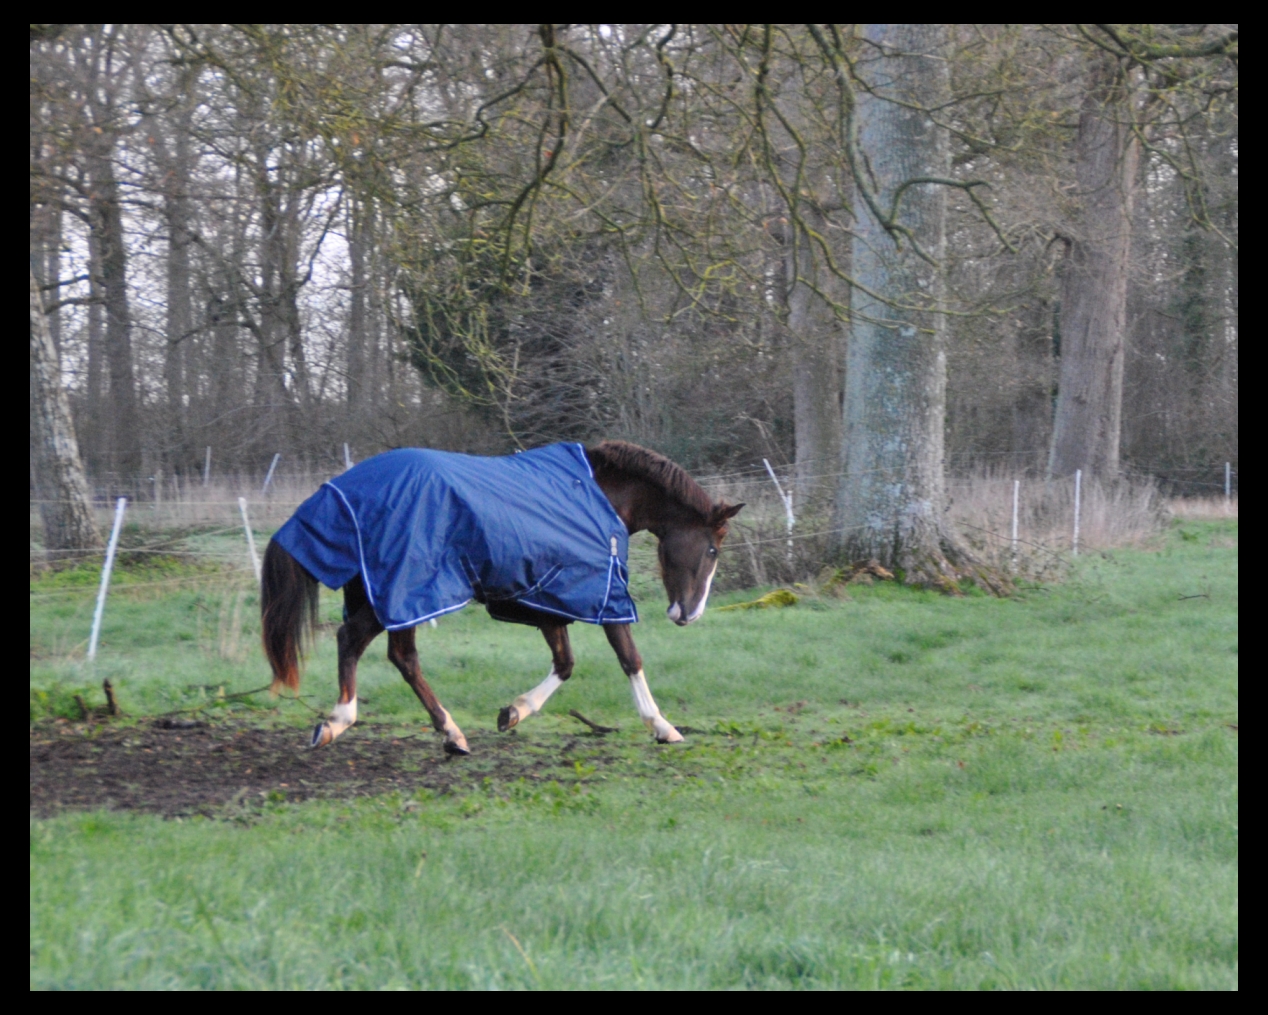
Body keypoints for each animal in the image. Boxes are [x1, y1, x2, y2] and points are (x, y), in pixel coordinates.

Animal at [259, 440, 743, 754]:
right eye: (712, 550)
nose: (688, 614)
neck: (598, 495)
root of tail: (340, 492)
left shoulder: (545, 599)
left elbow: (565, 664)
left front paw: (515, 712)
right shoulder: (601, 593)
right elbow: (630, 658)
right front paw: (662, 727)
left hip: (383, 595)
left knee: (393, 655)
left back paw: (445, 733)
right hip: (404, 594)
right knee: (366, 645)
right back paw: (349, 723)